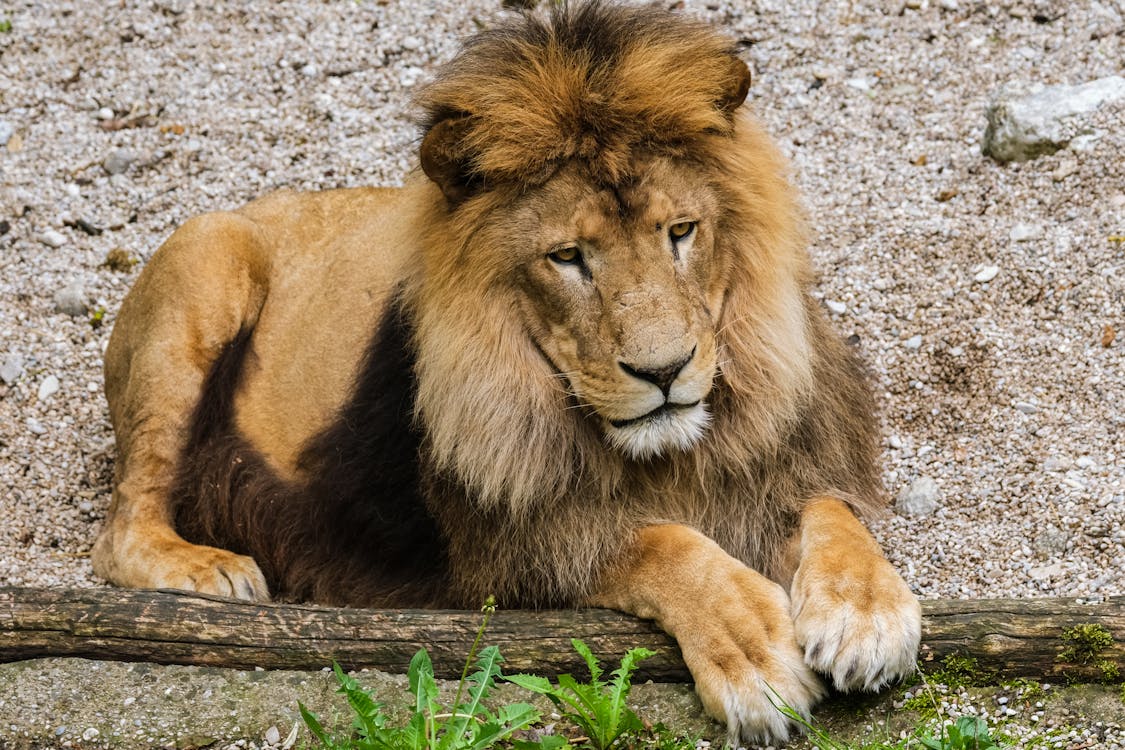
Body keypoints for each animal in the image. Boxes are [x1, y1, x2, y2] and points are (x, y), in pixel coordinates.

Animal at [94, 1, 922, 746]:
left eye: (680, 231)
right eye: (567, 257)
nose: (664, 370)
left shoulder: (774, 466)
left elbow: (830, 510)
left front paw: (864, 612)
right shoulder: (500, 551)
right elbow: (658, 543)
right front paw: (753, 651)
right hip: (207, 259)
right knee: (123, 528)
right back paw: (211, 572)